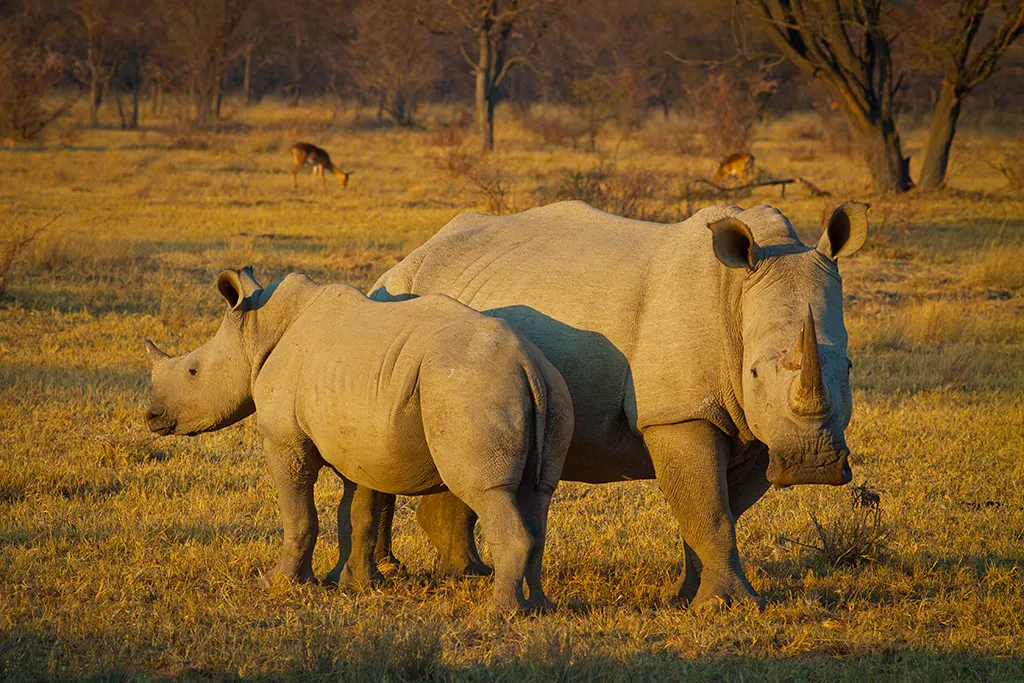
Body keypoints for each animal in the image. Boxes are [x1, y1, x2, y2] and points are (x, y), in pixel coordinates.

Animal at [143, 267, 573, 613]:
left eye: (193, 371)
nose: (150, 417)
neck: (259, 330)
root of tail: (527, 364)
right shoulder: (361, 437)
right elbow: (357, 512)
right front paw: (352, 584)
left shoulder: (284, 438)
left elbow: (299, 513)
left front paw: (280, 583)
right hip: (551, 391)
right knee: (537, 494)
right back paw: (539, 607)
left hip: (469, 388)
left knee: (486, 490)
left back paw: (500, 612)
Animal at [369, 200, 868, 609]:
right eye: (755, 374)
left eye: (847, 368)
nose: (811, 464)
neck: (739, 288)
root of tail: (411, 256)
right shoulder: (679, 414)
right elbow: (710, 512)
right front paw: (726, 606)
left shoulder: (762, 434)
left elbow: (716, 510)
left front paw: (688, 598)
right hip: (398, 299)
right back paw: (390, 575)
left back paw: (468, 574)